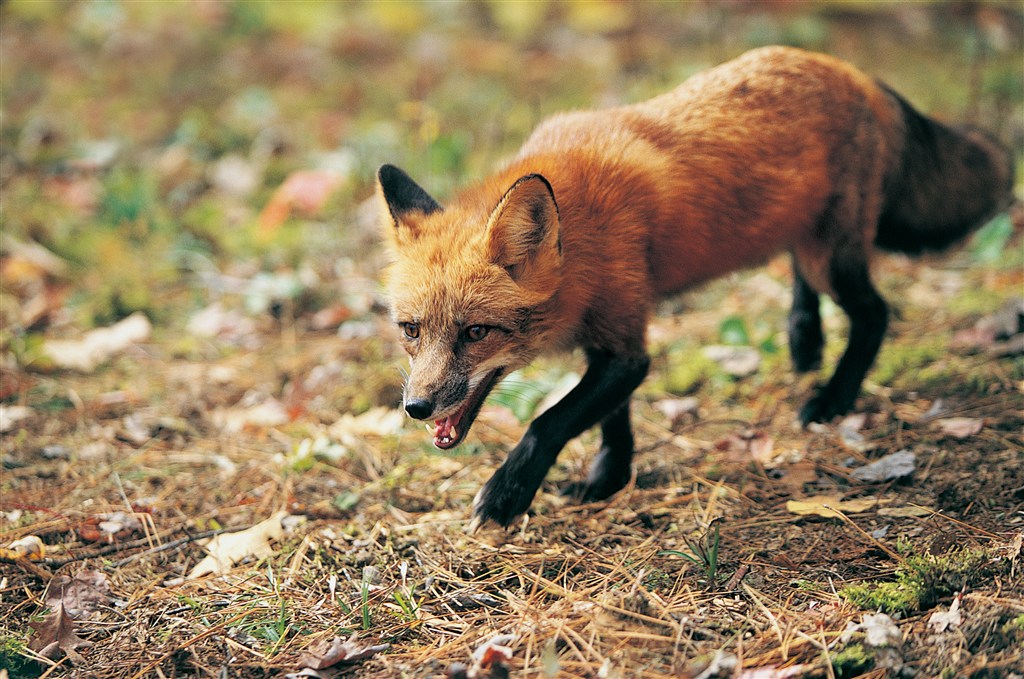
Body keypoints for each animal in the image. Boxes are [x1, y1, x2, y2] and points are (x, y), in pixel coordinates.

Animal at [378, 46, 1015, 532]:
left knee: (876, 314)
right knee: (804, 280)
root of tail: (850, 68)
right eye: (411, 331)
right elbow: (611, 422)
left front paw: (508, 495)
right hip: (806, 239)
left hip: (832, 257)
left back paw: (832, 398)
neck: (581, 237)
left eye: (476, 333)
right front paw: (608, 480)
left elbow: (549, 422)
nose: (416, 407)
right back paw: (803, 337)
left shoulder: (625, 344)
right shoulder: (611, 333)